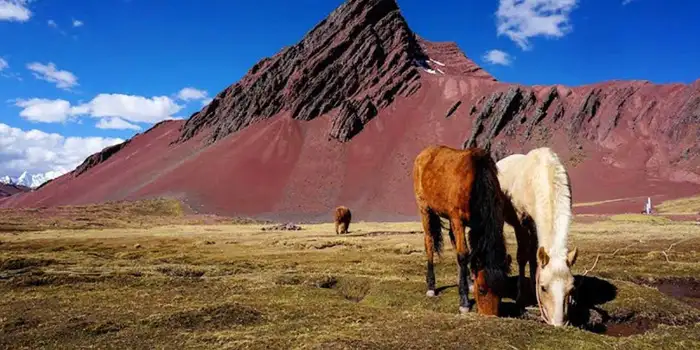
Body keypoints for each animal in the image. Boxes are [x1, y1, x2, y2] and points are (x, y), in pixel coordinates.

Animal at [412, 145, 512, 314]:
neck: (478, 182)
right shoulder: (458, 220)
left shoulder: (479, 225)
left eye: (503, 290)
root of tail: (424, 153)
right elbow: (464, 254)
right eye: (482, 290)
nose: (490, 316)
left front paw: (468, 283)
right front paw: (464, 302)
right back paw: (431, 287)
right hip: (424, 209)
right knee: (429, 241)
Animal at [498, 147, 580, 326]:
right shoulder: (521, 221)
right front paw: (520, 299)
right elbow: (522, 256)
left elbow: (534, 256)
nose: (559, 324)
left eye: (571, 288)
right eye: (543, 287)